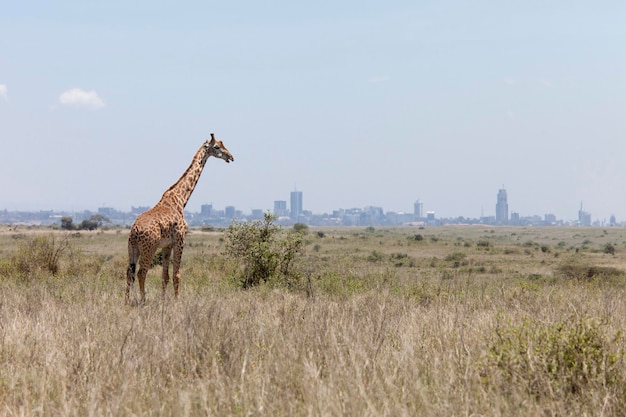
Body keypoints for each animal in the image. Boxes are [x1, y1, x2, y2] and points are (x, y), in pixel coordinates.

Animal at [125, 133, 233, 302]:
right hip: (149, 248)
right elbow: (176, 275)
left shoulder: (167, 245)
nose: (231, 157)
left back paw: (126, 301)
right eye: (217, 147)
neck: (181, 199)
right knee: (142, 272)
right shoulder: (180, 240)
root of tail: (134, 232)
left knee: (129, 273)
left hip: (132, 248)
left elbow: (165, 276)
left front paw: (164, 300)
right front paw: (177, 301)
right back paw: (143, 300)